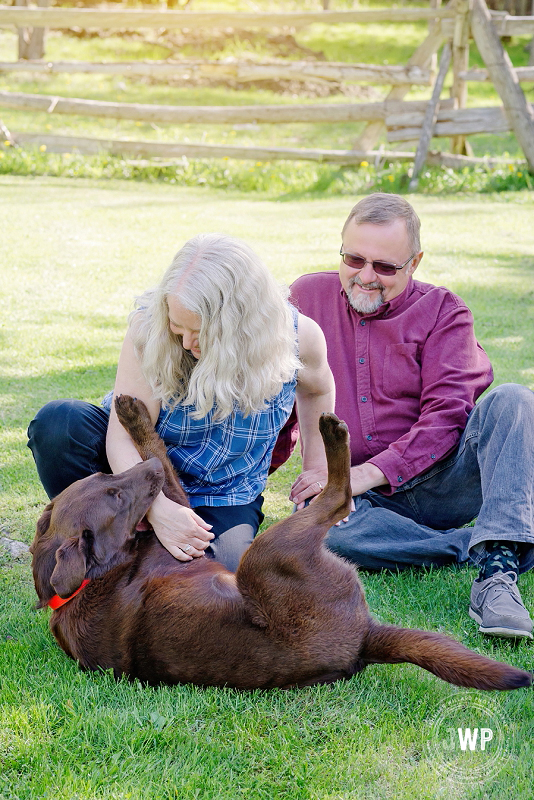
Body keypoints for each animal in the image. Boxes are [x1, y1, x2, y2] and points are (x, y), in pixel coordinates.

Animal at [31, 396, 532, 692]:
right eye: (116, 495)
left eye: (106, 477)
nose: (145, 476)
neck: (88, 584)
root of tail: (363, 640)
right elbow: (161, 455)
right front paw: (138, 418)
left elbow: (160, 454)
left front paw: (131, 410)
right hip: (265, 556)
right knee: (336, 496)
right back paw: (332, 432)